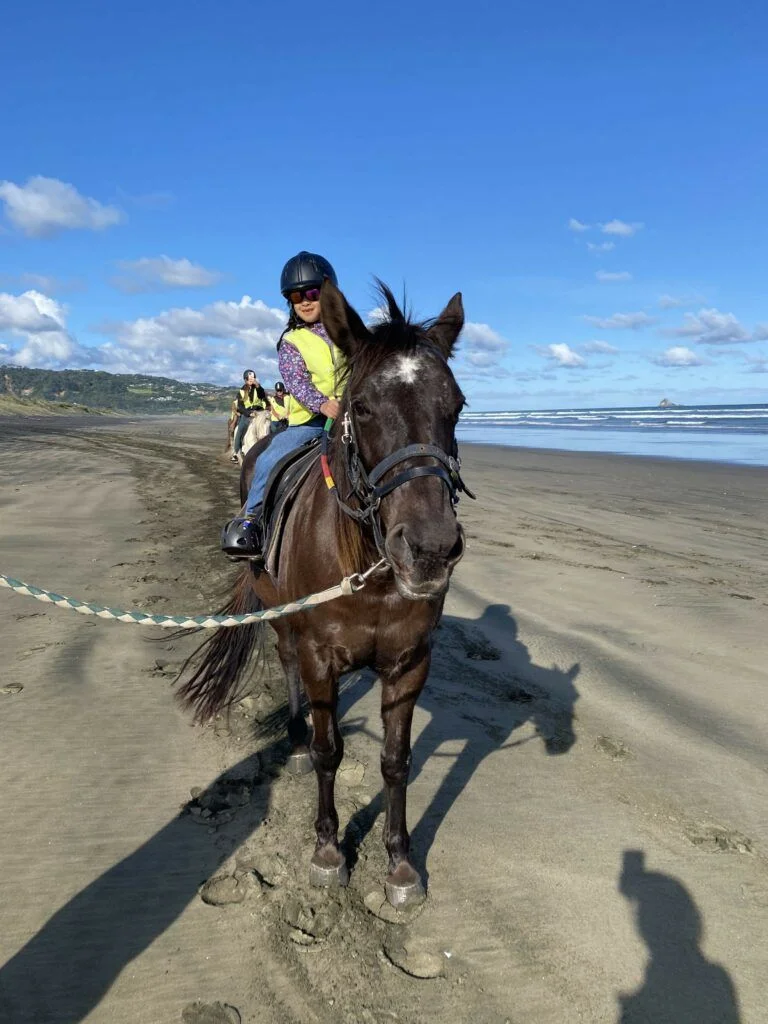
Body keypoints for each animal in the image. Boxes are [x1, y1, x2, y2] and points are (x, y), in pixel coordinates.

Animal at [178, 281, 470, 908]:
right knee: (286, 660)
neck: (368, 572)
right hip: (280, 613)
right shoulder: (319, 656)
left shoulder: (409, 664)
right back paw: (292, 734)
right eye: (360, 406)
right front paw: (329, 850)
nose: (430, 550)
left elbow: (396, 761)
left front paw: (400, 863)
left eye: (456, 405)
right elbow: (328, 750)